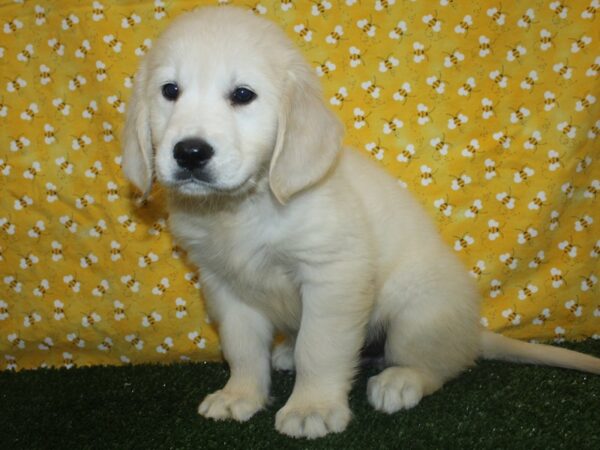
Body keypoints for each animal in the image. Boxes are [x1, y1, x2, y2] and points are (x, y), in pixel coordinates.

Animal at [120, 5, 600, 438]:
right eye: (170, 90)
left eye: (242, 95)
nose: (190, 152)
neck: (242, 207)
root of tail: (472, 332)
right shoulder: (223, 284)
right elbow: (242, 349)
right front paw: (240, 395)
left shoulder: (334, 276)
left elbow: (320, 348)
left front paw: (311, 407)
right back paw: (287, 354)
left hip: (417, 312)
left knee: (439, 364)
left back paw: (401, 380)